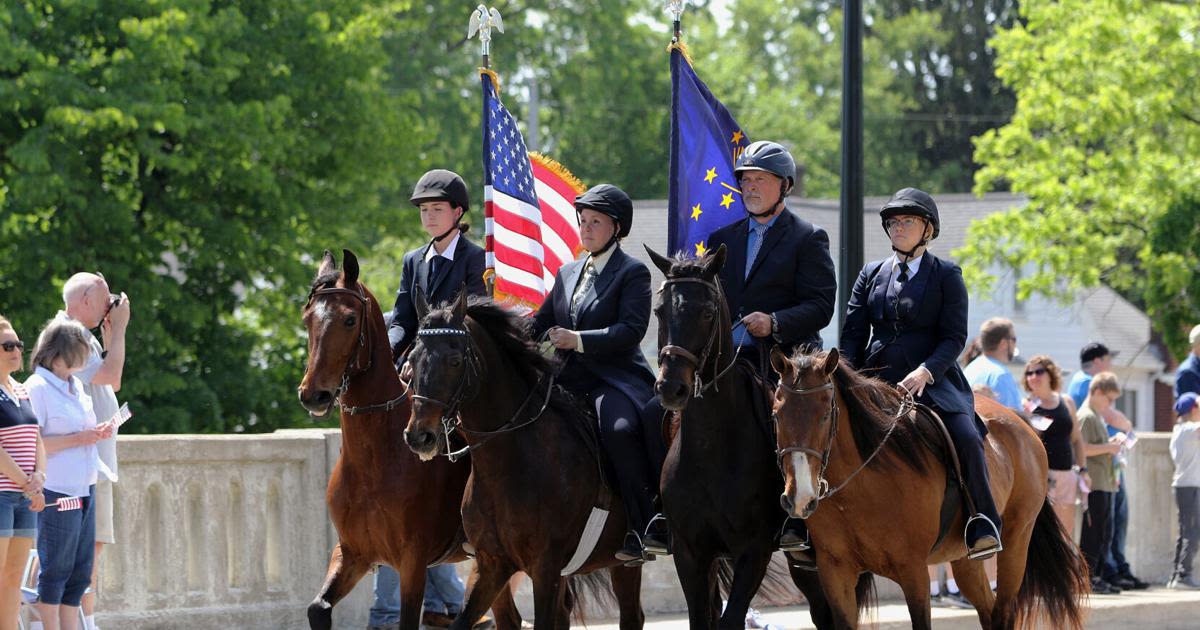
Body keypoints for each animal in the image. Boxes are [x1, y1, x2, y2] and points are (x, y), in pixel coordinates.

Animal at [297, 249, 518, 628]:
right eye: (308, 317)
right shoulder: (353, 553)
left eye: (349, 320)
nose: (314, 395)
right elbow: (318, 607)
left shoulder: (412, 563)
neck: (375, 457)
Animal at [403, 291, 648, 628]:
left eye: (454, 361)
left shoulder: (546, 568)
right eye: (412, 360)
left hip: (628, 560)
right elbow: (464, 620)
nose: (419, 436)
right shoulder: (492, 565)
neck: (506, 466)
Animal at [643, 246, 868, 628]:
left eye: (707, 312)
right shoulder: (691, 553)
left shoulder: (754, 550)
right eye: (659, 310)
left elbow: (731, 619)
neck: (711, 446)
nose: (671, 387)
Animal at [772, 345, 1094, 624]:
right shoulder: (835, 571)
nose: (800, 498)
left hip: (1016, 542)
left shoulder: (913, 571)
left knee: (1003, 611)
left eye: (826, 414)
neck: (860, 488)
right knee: (988, 610)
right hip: (965, 558)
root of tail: (1023, 423)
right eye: (776, 415)